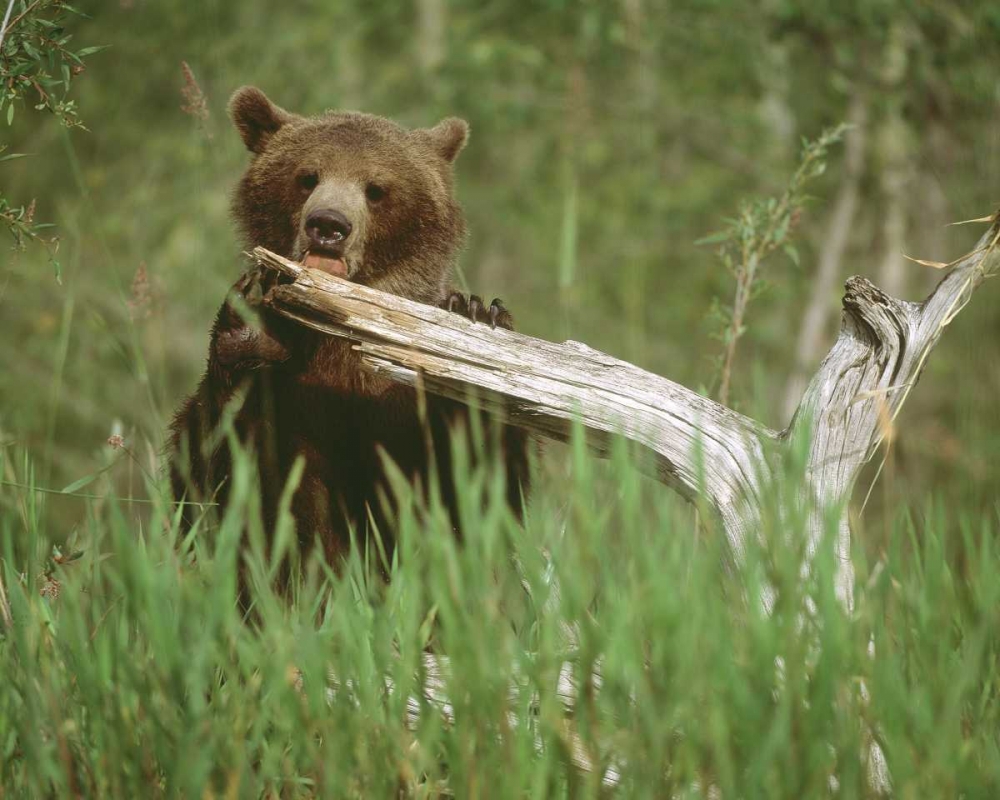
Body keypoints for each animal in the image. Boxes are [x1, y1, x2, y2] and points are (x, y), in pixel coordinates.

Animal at [170, 87, 532, 572]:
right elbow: (225, 485)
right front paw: (252, 326)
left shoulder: (394, 413)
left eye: (375, 188)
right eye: (307, 176)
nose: (327, 225)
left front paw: (471, 313)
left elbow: (479, 487)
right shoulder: (295, 412)